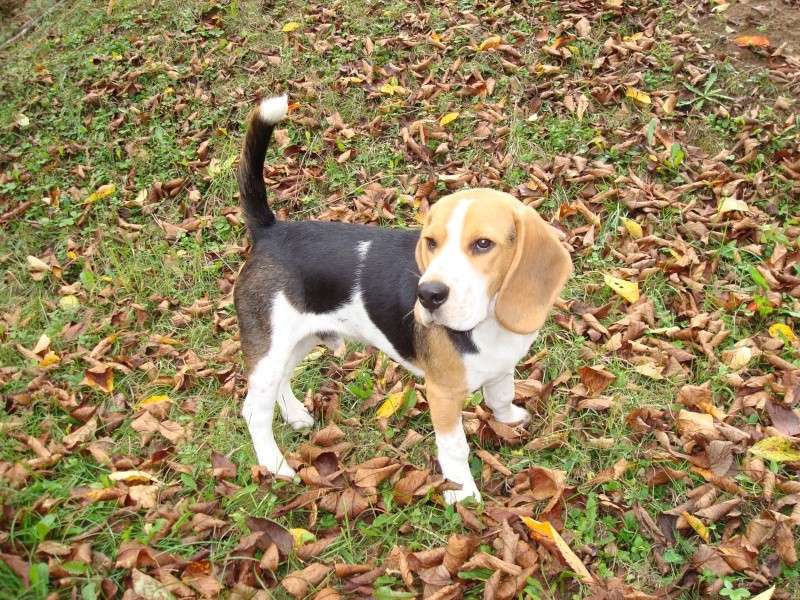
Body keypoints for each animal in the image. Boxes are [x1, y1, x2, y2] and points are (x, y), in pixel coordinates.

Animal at [234, 97, 572, 502]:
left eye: (483, 244)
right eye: (432, 242)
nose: (428, 295)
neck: (487, 321)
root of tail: (270, 231)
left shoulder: (502, 367)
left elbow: (501, 397)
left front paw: (509, 420)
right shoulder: (443, 395)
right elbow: (455, 448)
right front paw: (463, 495)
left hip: (297, 341)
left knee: (280, 382)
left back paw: (295, 414)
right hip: (270, 346)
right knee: (254, 410)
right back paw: (275, 465)